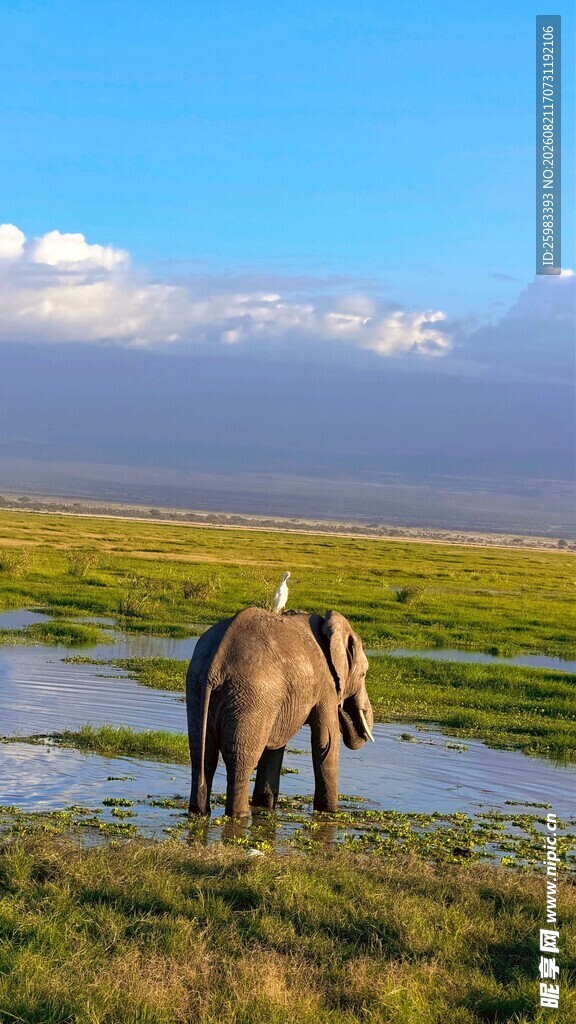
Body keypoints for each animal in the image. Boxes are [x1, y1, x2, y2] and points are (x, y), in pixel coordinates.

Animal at [186, 606, 374, 818]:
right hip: (252, 696)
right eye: (364, 674)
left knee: (202, 754)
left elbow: (275, 747)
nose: (342, 708)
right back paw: (240, 815)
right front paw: (330, 813)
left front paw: (264, 805)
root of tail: (214, 666)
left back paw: (199, 812)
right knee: (240, 760)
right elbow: (326, 742)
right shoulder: (325, 684)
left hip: (197, 689)